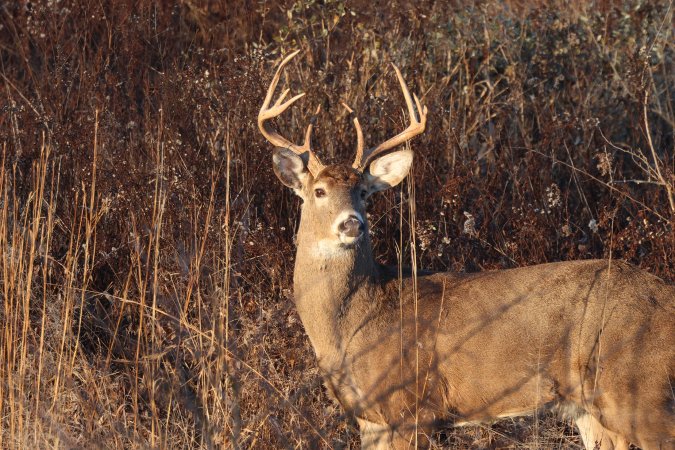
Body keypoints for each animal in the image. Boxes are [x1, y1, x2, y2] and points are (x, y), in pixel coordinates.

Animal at [258, 50, 675, 450]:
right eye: (319, 191)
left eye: (363, 192)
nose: (351, 224)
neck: (354, 325)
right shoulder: (370, 418)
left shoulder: (413, 406)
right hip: (590, 409)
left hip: (637, 386)